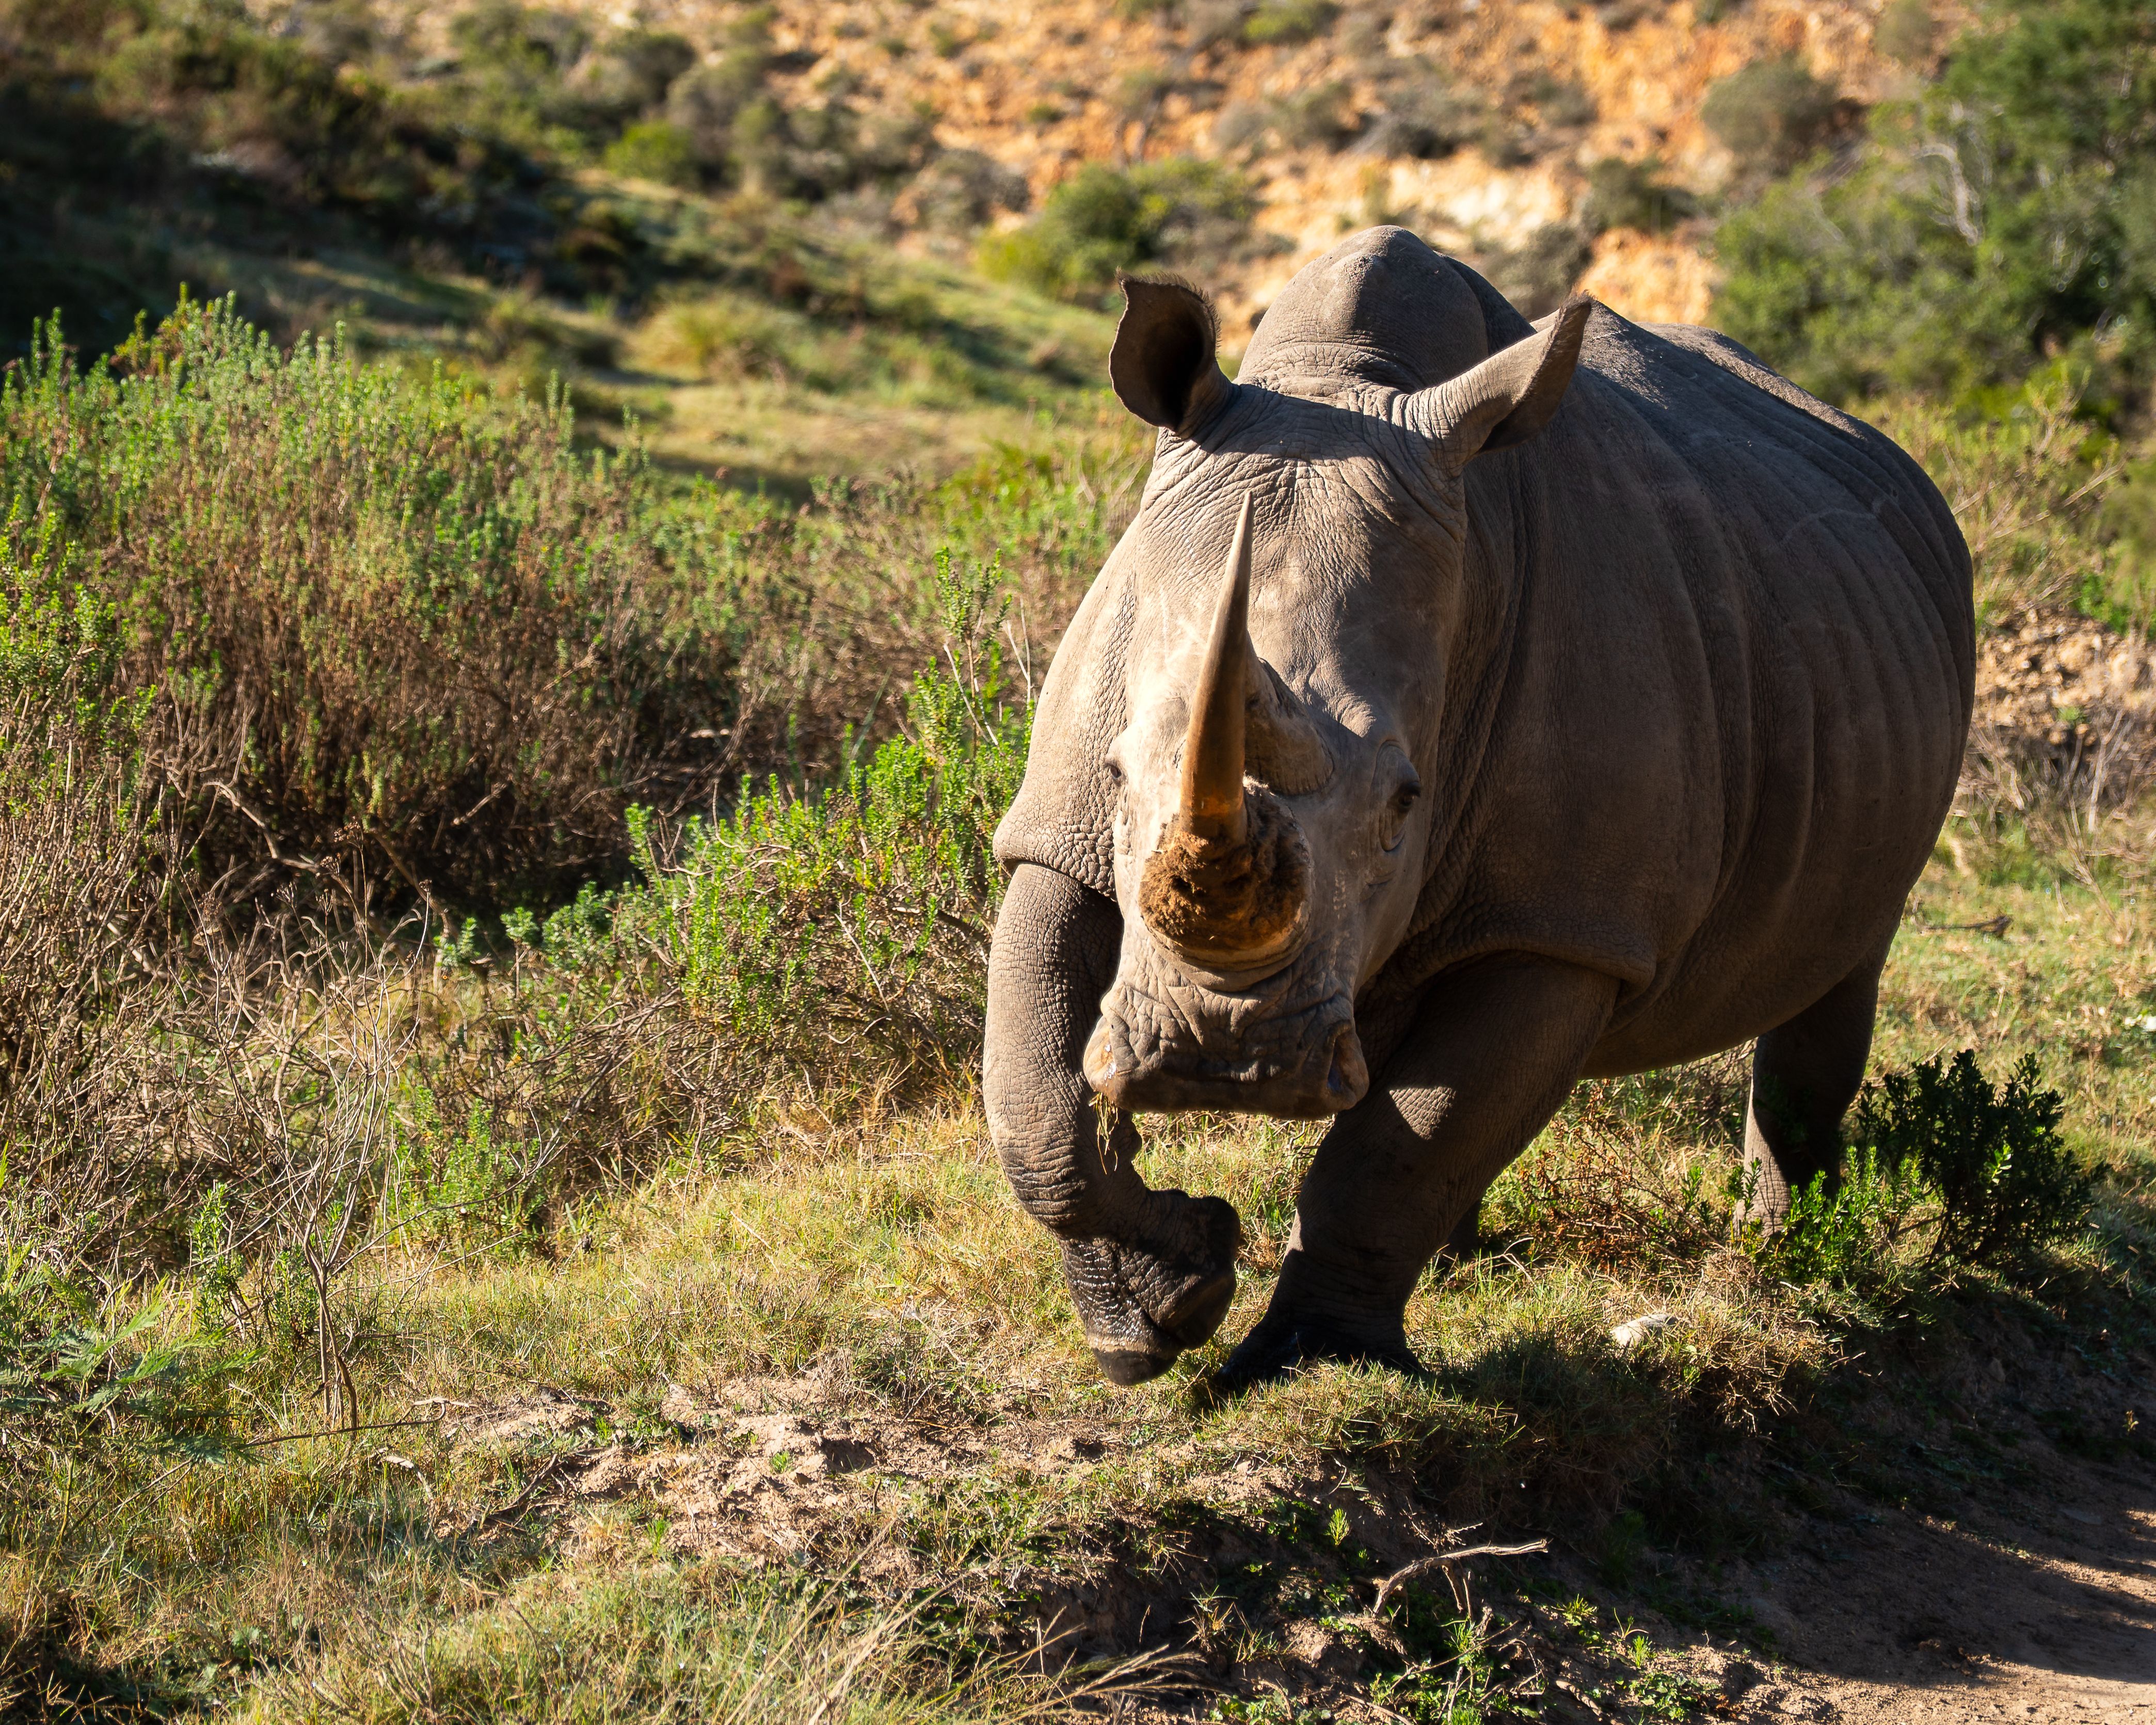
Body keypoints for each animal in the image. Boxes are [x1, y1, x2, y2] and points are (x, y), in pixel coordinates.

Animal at [984, 228, 1973, 1390]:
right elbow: (1029, 1094)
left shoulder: (1568, 924)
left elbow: (1402, 1151)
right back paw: (1465, 1264)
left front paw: (1304, 1364)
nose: (1220, 1059)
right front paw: (1155, 1314)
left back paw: (1784, 1254)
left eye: (1405, 803)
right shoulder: (1058, 833)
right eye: (1118, 773)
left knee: (1843, 961)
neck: (1341, 389)